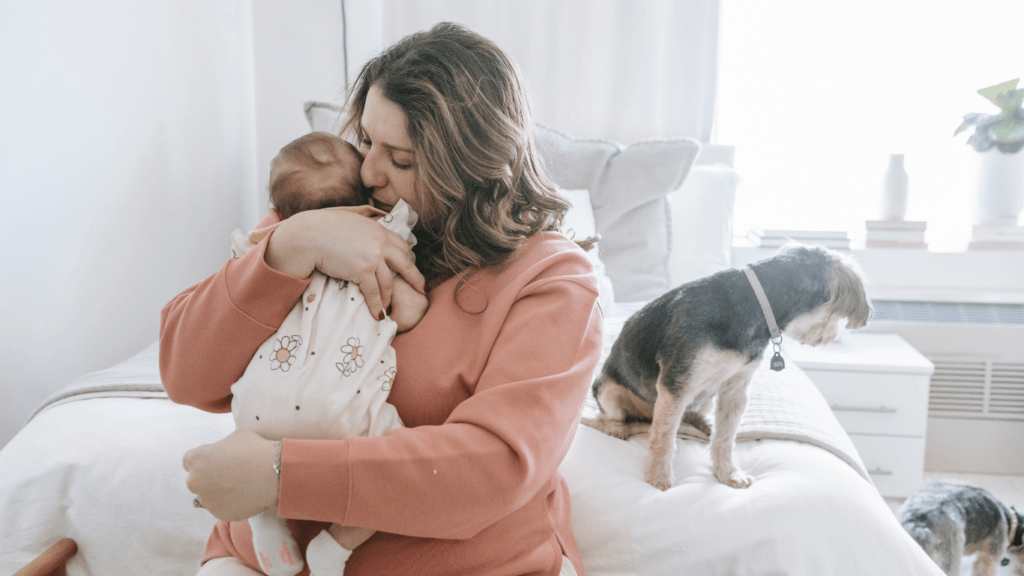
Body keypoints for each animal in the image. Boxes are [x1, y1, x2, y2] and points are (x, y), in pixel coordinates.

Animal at [589, 241, 868, 487]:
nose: (832, 337)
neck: (755, 303)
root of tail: (645, 414)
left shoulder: (736, 387)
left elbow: (726, 437)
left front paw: (728, 473)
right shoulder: (675, 383)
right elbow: (665, 436)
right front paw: (659, 477)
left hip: (703, 397)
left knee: (692, 412)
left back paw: (702, 422)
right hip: (608, 389)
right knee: (608, 415)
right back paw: (616, 427)